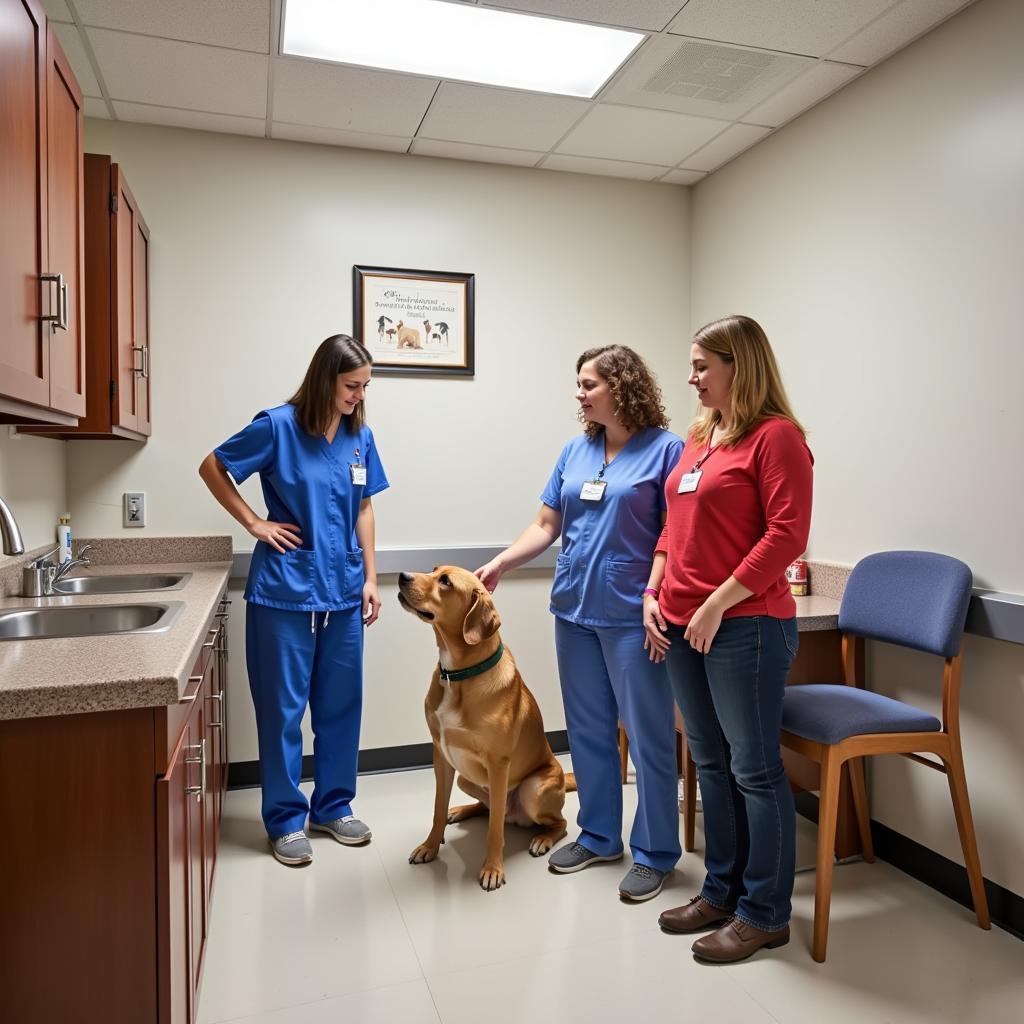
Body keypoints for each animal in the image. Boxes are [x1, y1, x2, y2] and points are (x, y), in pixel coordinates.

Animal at [397, 565, 577, 892]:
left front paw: (493, 868)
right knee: (493, 809)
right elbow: (437, 809)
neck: (457, 676)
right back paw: (461, 810)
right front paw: (430, 845)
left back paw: (543, 838)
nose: (402, 576)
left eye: (445, 581)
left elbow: (494, 831)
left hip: (533, 789)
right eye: (433, 570)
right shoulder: (441, 756)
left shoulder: (497, 764)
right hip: (465, 779)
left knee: (555, 822)